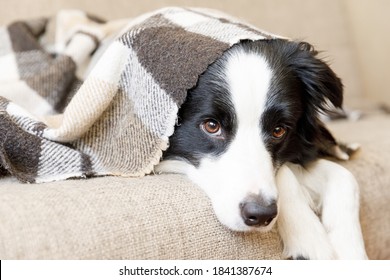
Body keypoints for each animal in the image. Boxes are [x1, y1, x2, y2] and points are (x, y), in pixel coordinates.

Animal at [155, 38, 366, 260]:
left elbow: (346, 177)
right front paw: (309, 240)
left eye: (279, 130)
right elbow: (287, 173)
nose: (260, 215)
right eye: (211, 126)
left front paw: (351, 251)